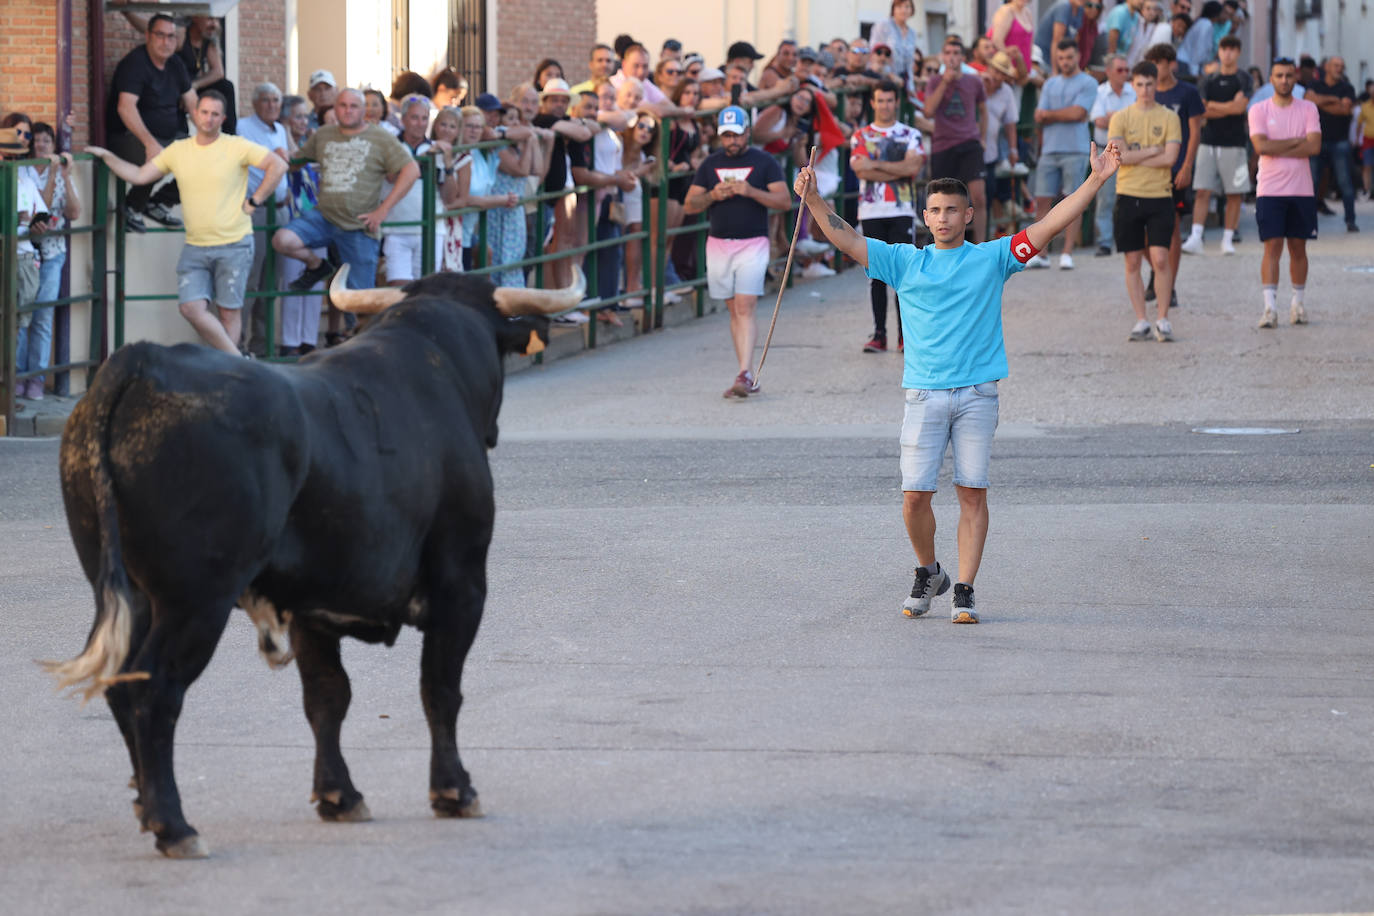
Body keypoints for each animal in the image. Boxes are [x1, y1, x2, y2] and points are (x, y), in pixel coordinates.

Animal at [45, 269, 582, 856]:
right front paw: (453, 790)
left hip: (125, 591)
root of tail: (142, 361)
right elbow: (439, 689)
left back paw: (147, 806)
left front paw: (338, 796)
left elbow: (327, 697)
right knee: (154, 690)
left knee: (122, 683)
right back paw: (175, 825)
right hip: (196, 601)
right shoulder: (461, 584)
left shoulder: (308, 606)